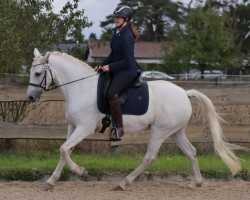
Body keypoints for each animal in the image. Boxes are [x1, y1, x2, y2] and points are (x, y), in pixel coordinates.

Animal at [27, 48, 242, 191]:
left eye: (38, 73)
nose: (30, 97)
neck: (81, 88)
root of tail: (184, 93)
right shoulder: (73, 127)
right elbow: (65, 150)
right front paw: (51, 181)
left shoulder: (84, 128)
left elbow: (64, 149)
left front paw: (81, 172)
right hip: (176, 132)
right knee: (191, 152)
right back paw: (196, 183)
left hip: (159, 131)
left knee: (150, 157)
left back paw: (124, 183)